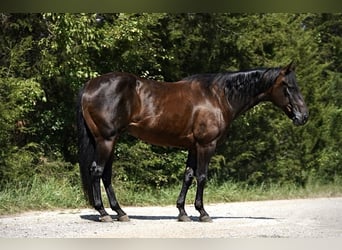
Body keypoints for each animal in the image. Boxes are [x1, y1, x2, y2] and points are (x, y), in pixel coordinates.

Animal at [76, 62, 308, 223]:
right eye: (287, 86)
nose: (303, 117)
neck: (217, 96)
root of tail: (89, 85)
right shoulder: (207, 145)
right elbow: (202, 177)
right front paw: (203, 213)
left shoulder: (193, 147)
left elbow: (188, 177)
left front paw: (182, 212)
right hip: (106, 140)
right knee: (97, 171)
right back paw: (104, 213)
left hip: (110, 141)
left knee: (106, 174)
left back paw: (120, 212)